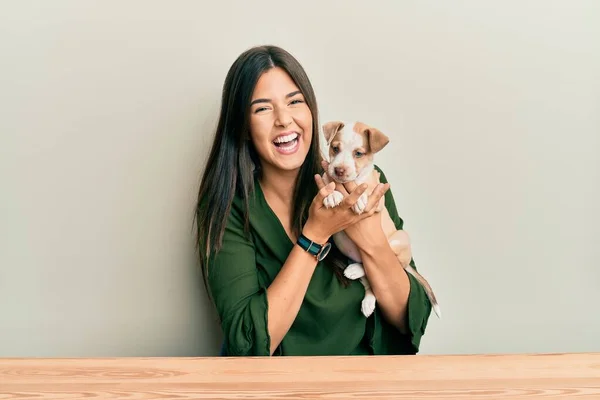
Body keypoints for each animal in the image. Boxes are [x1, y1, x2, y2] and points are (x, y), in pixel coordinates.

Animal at [322, 120, 442, 320]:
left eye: (359, 153)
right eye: (335, 148)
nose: (339, 170)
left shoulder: (378, 199)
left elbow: (365, 190)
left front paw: (360, 199)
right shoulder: (325, 177)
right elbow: (328, 182)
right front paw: (333, 195)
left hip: (399, 239)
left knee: (391, 262)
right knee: (370, 281)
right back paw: (366, 298)